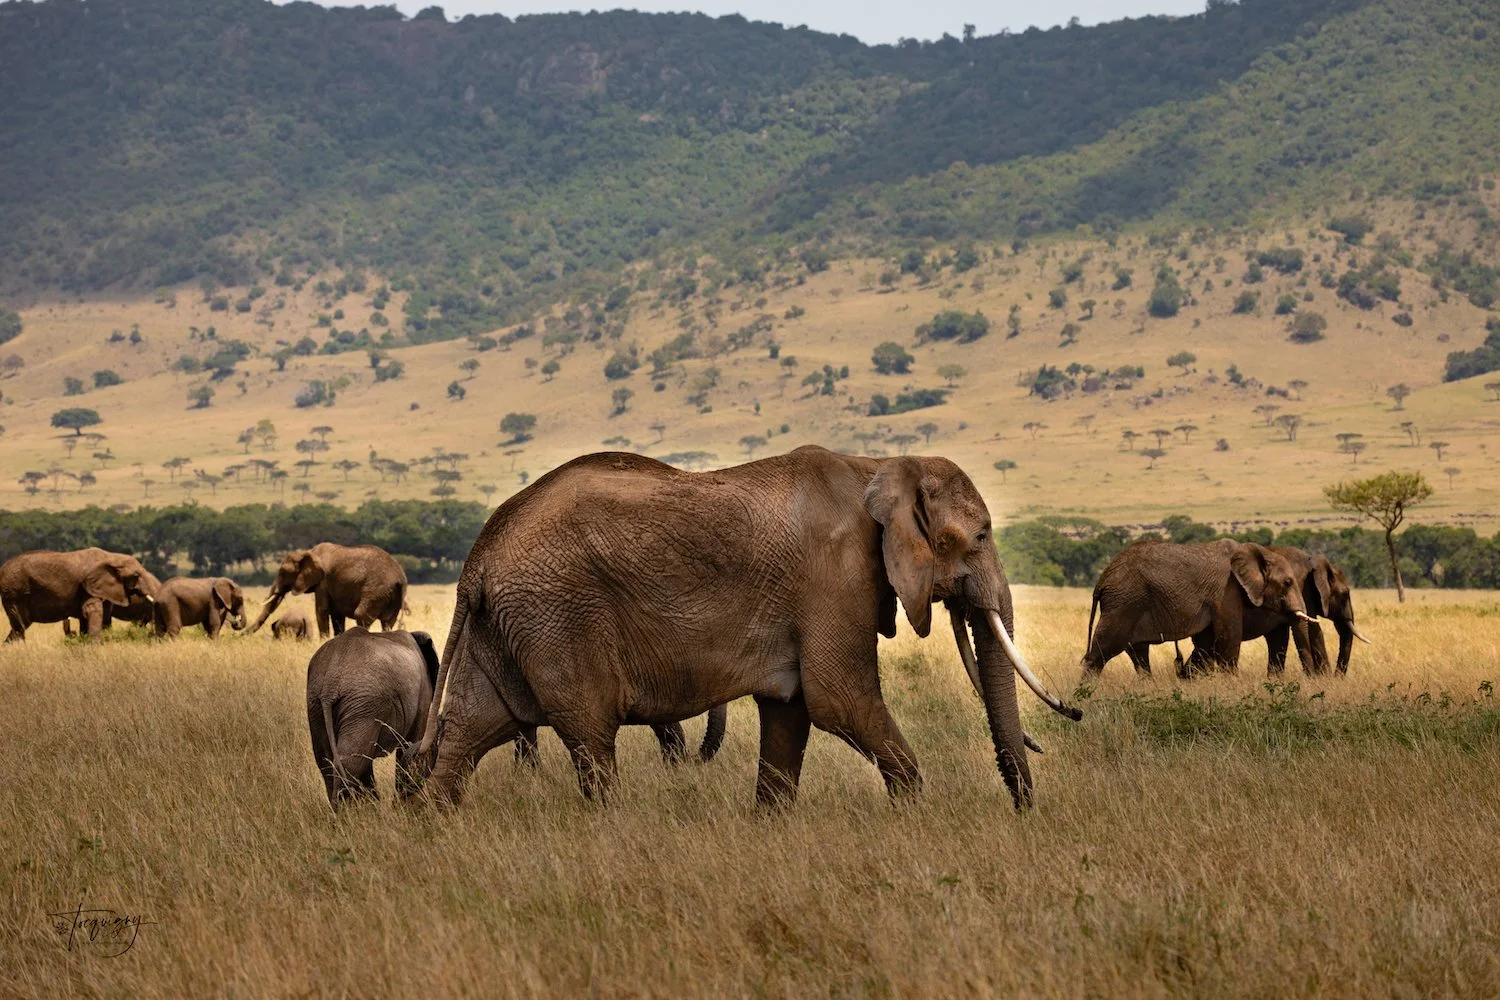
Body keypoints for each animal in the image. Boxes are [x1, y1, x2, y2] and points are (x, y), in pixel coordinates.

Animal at [2, 548, 159, 643]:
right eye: (136, 576)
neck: (112, 557)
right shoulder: (87, 586)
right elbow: (93, 612)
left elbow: (98, 616)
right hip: (15, 593)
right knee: (20, 626)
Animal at [247, 543, 407, 640]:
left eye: (282, 572)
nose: (242, 634)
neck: (308, 553)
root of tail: (400, 578)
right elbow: (337, 616)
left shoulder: (323, 582)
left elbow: (321, 610)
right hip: (392, 595)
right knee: (388, 621)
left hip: (376, 590)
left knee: (361, 615)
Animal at [307, 626, 439, 809]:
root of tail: (330, 684)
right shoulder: (423, 696)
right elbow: (411, 744)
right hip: (363, 703)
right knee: (352, 762)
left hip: (318, 703)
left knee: (327, 762)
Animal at [407, 447, 1082, 811]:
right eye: (981, 536)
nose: (1023, 814)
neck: (879, 466)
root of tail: (478, 556)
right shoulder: (834, 577)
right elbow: (838, 700)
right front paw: (914, 816)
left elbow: (791, 712)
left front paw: (770, 827)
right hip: (558, 616)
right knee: (590, 738)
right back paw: (611, 830)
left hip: (510, 623)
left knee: (473, 729)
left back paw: (433, 828)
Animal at [1082, 539, 1316, 676]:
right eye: (1287, 583)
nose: (1310, 678)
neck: (1258, 552)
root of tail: (1102, 580)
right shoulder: (1226, 591)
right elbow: (1228, 639)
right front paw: (1232, 683)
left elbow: (1206, 644)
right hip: (1124, 603)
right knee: (1102, 652)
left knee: (1138, 653)